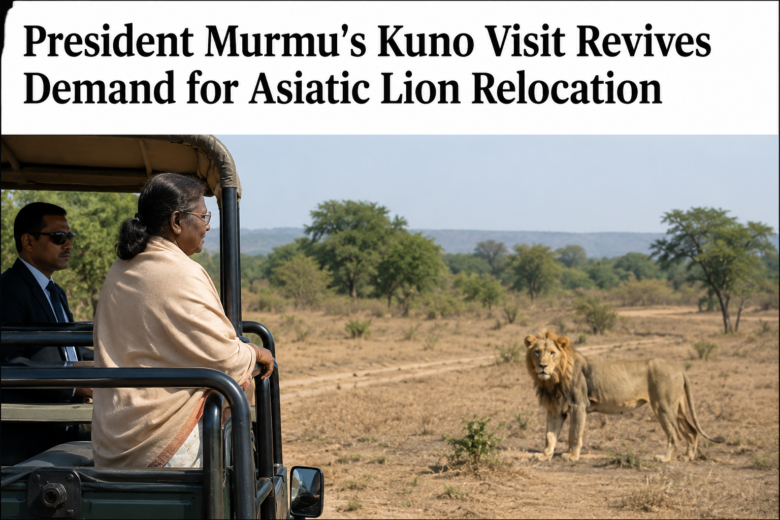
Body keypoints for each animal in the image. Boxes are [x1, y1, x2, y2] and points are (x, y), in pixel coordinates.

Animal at [524, 330, 724, 463]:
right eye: (537, 352)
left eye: (552, 353)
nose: (542, 366)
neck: (553, 380)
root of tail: (679, 368)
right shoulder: (555, 409)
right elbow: (550, 435)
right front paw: (544, 455)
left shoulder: (578, 405)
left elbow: (574, 433)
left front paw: (571, 456)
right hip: (677, 407)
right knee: (691, 430)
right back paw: (687, 458)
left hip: (663, 406)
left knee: (675, 434)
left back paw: (665, 458)